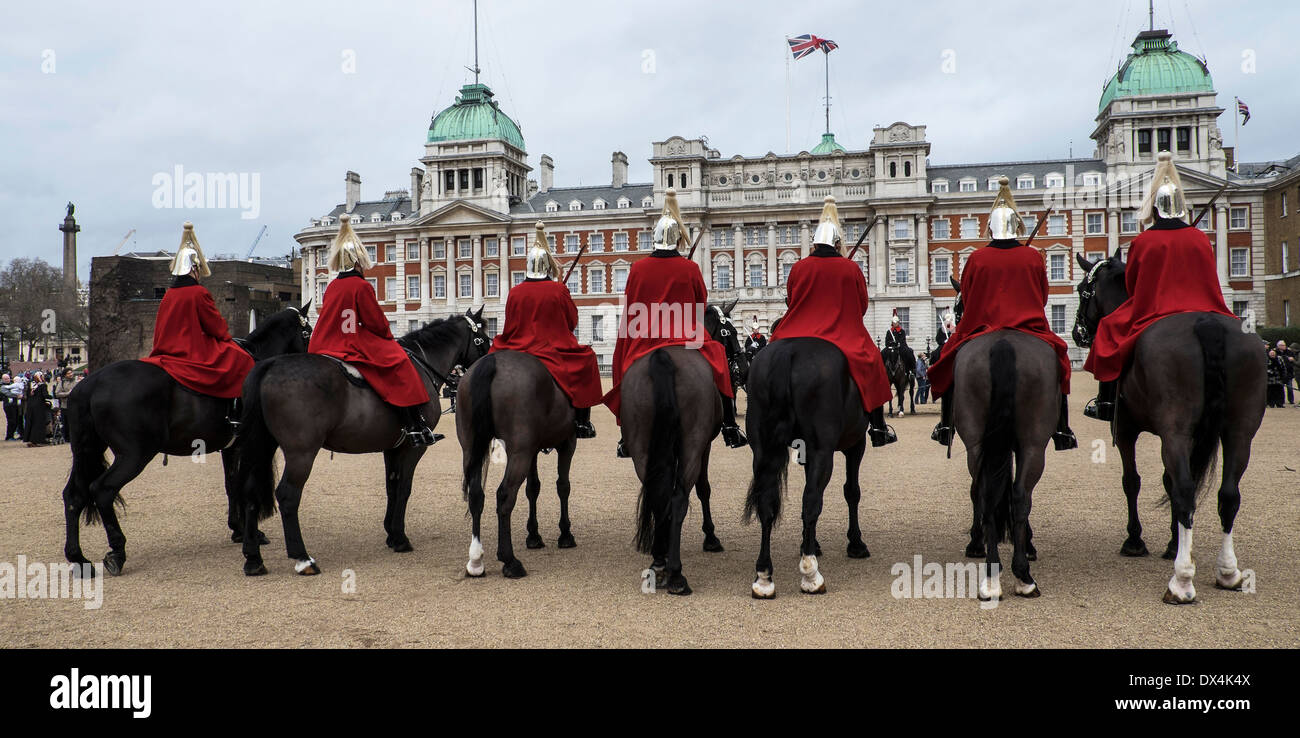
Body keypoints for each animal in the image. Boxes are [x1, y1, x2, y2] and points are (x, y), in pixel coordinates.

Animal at [62, 301, 312, 576]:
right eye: (308, 332)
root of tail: (92, 382)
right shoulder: (243, 445)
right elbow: (242, 487)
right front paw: (251, 533)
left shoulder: (230, 447)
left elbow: (231, 485)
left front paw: (238, 529)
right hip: (134, 455)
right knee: (103, 490)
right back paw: (117, 551)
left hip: (87, 451)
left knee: (74, 496)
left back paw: (78, 557)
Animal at [233, 305, 488, 576]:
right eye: (483, 338)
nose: (487, 362)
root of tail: (269, 366)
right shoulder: (412, 448)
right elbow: (405, 488)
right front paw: (400, 538)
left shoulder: (393, 447)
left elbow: (392, 487)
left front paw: (391, 533)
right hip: (301, 453)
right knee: (288, 495)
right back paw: (303, 558)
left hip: (264, 446)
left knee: (250, 491)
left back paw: (253, 558)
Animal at [743, 337, 873, 597]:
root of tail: (789, 350)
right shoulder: (855, 444)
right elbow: (852, 491)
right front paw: (855, 543)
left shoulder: (806, 453)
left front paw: (809, 542)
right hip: (823, 451)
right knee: (811, 502)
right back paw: (811, 574)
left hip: (762, 450)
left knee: (766, 505)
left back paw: (764, 577)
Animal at [1071, 254, 1263, 605]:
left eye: (1082, 289)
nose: (1078, 334)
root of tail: (1207, 323)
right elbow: (1166, 482)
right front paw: (1174, 542)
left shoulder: (1126, 430)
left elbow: (1132, 481)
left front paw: (1135, 541)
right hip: (1239, 432)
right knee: (1228, 494)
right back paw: (1227, 572)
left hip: (1177, 430)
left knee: (1187, 490)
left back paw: (1182, 582)